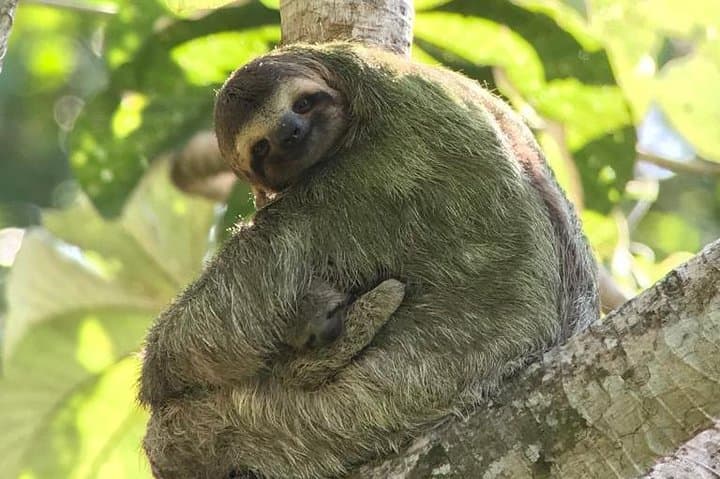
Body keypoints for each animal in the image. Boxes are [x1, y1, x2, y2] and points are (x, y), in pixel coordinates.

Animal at [139, 42, 599, 478]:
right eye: (261, 146)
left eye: (302, 104)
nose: (291, 132)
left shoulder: (372, 175)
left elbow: (207, 330)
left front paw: (163, 366)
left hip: (400, 389)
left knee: (183, 435)